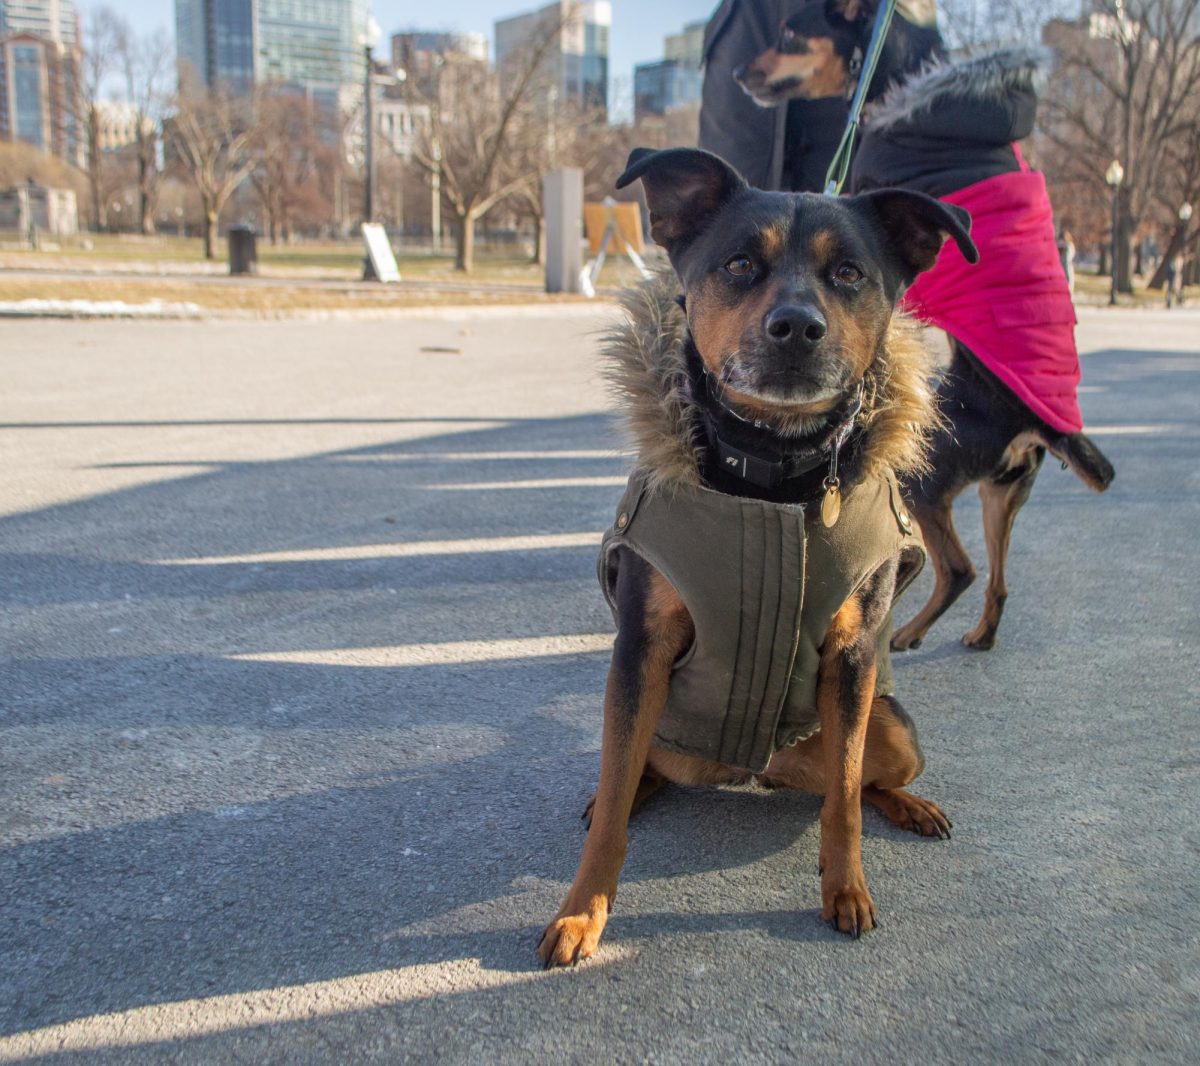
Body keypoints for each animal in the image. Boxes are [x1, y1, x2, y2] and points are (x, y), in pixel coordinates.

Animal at [540, 145, 979, 969]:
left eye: (850, 273)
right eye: (740, 263)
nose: (796, 326)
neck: (774, 472)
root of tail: (756, 772)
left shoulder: (854, 655)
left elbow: (844, 800)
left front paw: (847, 889)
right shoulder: (641, 647)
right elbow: (612, 811)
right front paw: (584, 912)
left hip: (893, 726)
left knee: (854, 781)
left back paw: (908, 804)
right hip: (653, 716)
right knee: (632, 768)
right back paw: (629, 790)